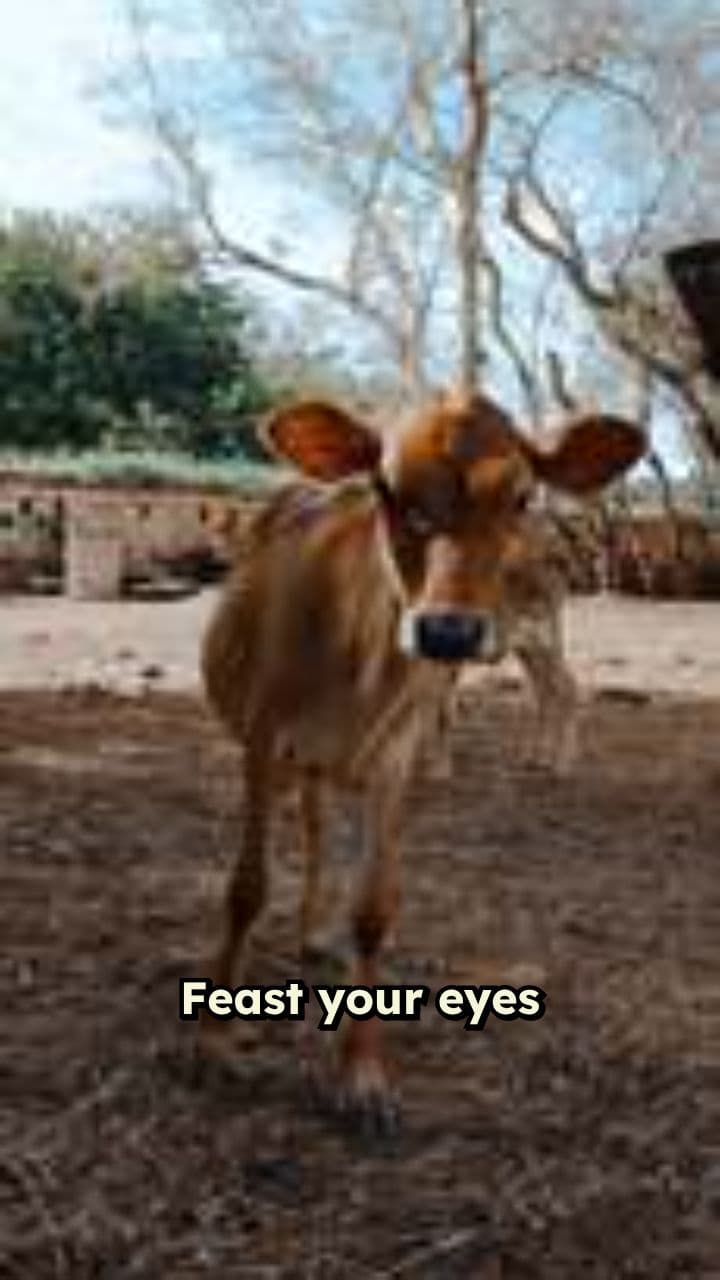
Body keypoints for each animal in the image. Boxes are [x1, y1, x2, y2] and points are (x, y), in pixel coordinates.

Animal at [199, 391, 644, 1128]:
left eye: (522, 495)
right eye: (385, 487)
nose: (448, 630)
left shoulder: (393, 761)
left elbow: (374, 910)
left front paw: (361, 1076)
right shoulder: (264, 740)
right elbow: (246, 888)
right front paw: (216, 1039)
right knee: (312, 831)